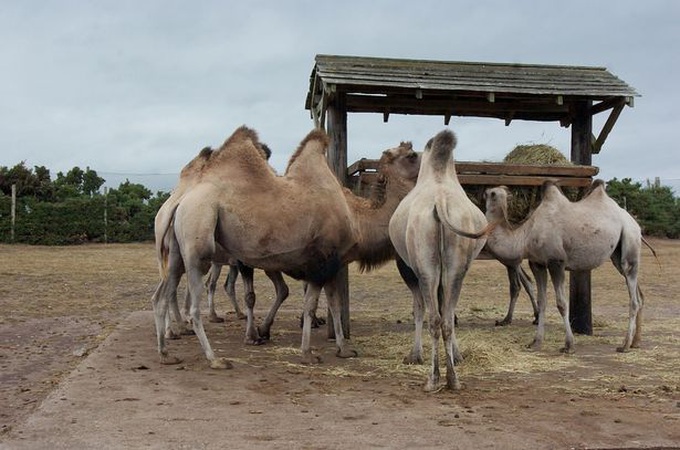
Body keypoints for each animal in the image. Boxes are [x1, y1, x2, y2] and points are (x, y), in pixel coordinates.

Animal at [155, 125, 420, 368]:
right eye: (411, 156)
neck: (356, 218)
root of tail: (180, 200)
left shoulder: (334, 263)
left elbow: (334, 305)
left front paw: (344, 350)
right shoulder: (320, 262)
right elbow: (311, 306)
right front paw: (307, 353)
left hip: (178, 252)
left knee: (162, 296)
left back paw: (167, 353)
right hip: (199, 237)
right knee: (193, 304)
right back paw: (215, 358)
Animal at [480, 180, 652, 356]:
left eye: (489, 193)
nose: (483, 193)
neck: (525, 235)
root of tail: (635, 223)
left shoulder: (556, 262)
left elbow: (562, 304)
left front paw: (569, 345)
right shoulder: (537, 263)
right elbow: (542, 302)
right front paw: (536, 342)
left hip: (630, 242)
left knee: (633, 298)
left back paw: (625, 345)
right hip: (617, 255)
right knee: (639, 295)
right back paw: (636, 342)